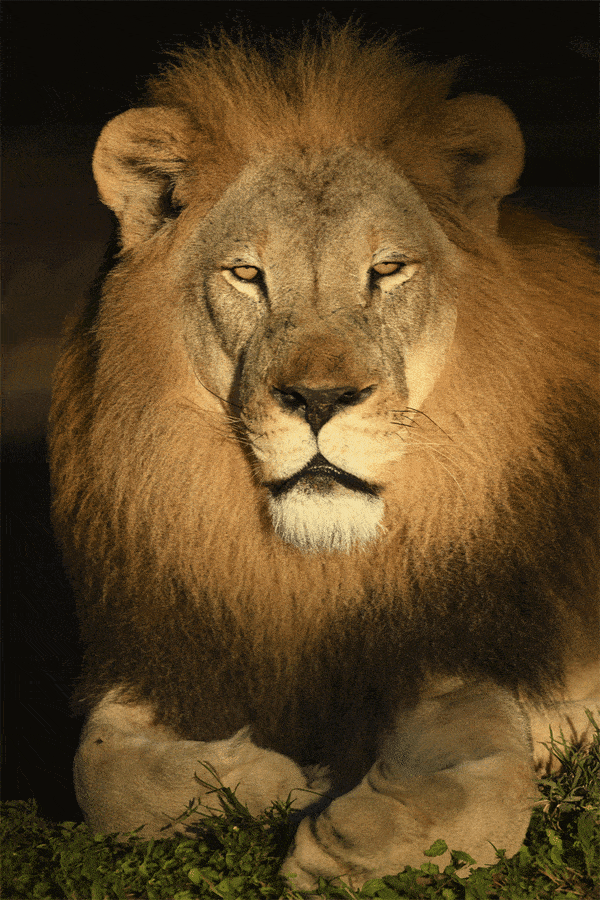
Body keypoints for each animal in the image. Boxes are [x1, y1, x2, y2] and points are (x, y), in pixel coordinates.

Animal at [49, 26, 599, 889]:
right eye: (247, 274)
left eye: (387, 270)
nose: (318, 399)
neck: (310, 576)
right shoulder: (161, 648)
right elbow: (102, 773)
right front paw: (267, 778)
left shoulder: (449, 639)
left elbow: (484, 781)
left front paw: (345, 844)